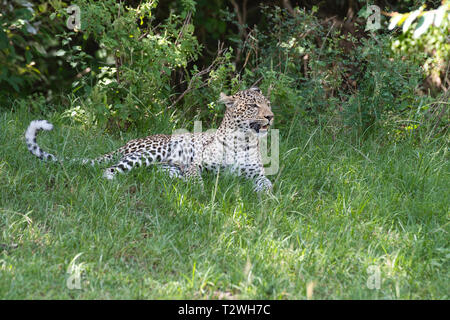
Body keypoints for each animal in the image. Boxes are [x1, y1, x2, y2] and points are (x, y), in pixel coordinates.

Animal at [26, 87, 276, 191]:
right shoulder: (196, 164)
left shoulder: (256, 174)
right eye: (253, 106)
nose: (270, 116)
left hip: (164, 167)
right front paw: (200, 192)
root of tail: (125, 144)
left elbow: (266, 185)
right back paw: (115, 182)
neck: (242, 141)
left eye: (268, 103)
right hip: (156, 150)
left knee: (156, 174)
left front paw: (268, 199)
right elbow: (196, 178)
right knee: (110, 169)